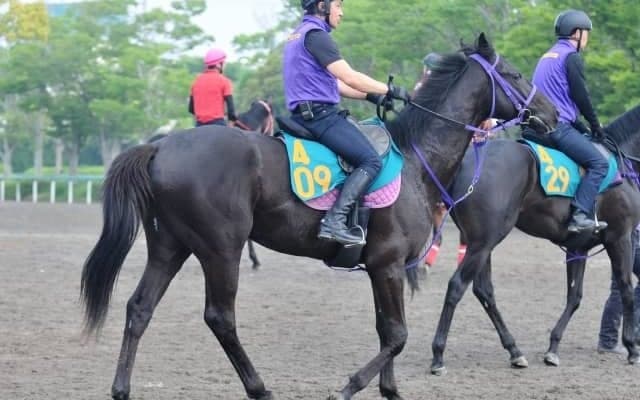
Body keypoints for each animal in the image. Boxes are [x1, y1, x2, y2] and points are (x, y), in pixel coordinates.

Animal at [80, 33, 556, 400]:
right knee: (220, 317)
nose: (550, 115)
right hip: (220, 250)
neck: (416, 159)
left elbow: (387, 330)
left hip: (170, 247)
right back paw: (259, 388)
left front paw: (389, 390)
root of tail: (162, 145)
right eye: (515, 74)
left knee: (140, 308)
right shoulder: (388, 265)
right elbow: (398, 335)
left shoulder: (381, 268)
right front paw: (349, 387)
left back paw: (121, 388)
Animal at [427, 105, 640, 375]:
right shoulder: (621, 236)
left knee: (483, 290)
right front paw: (632, 348)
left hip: (481, 242)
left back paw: (514, 351)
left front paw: (553, 347)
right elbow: (626, 288)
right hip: (483, 242)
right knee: (457, 286)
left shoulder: (578, 247)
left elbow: (575, 296)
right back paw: (438, 355)